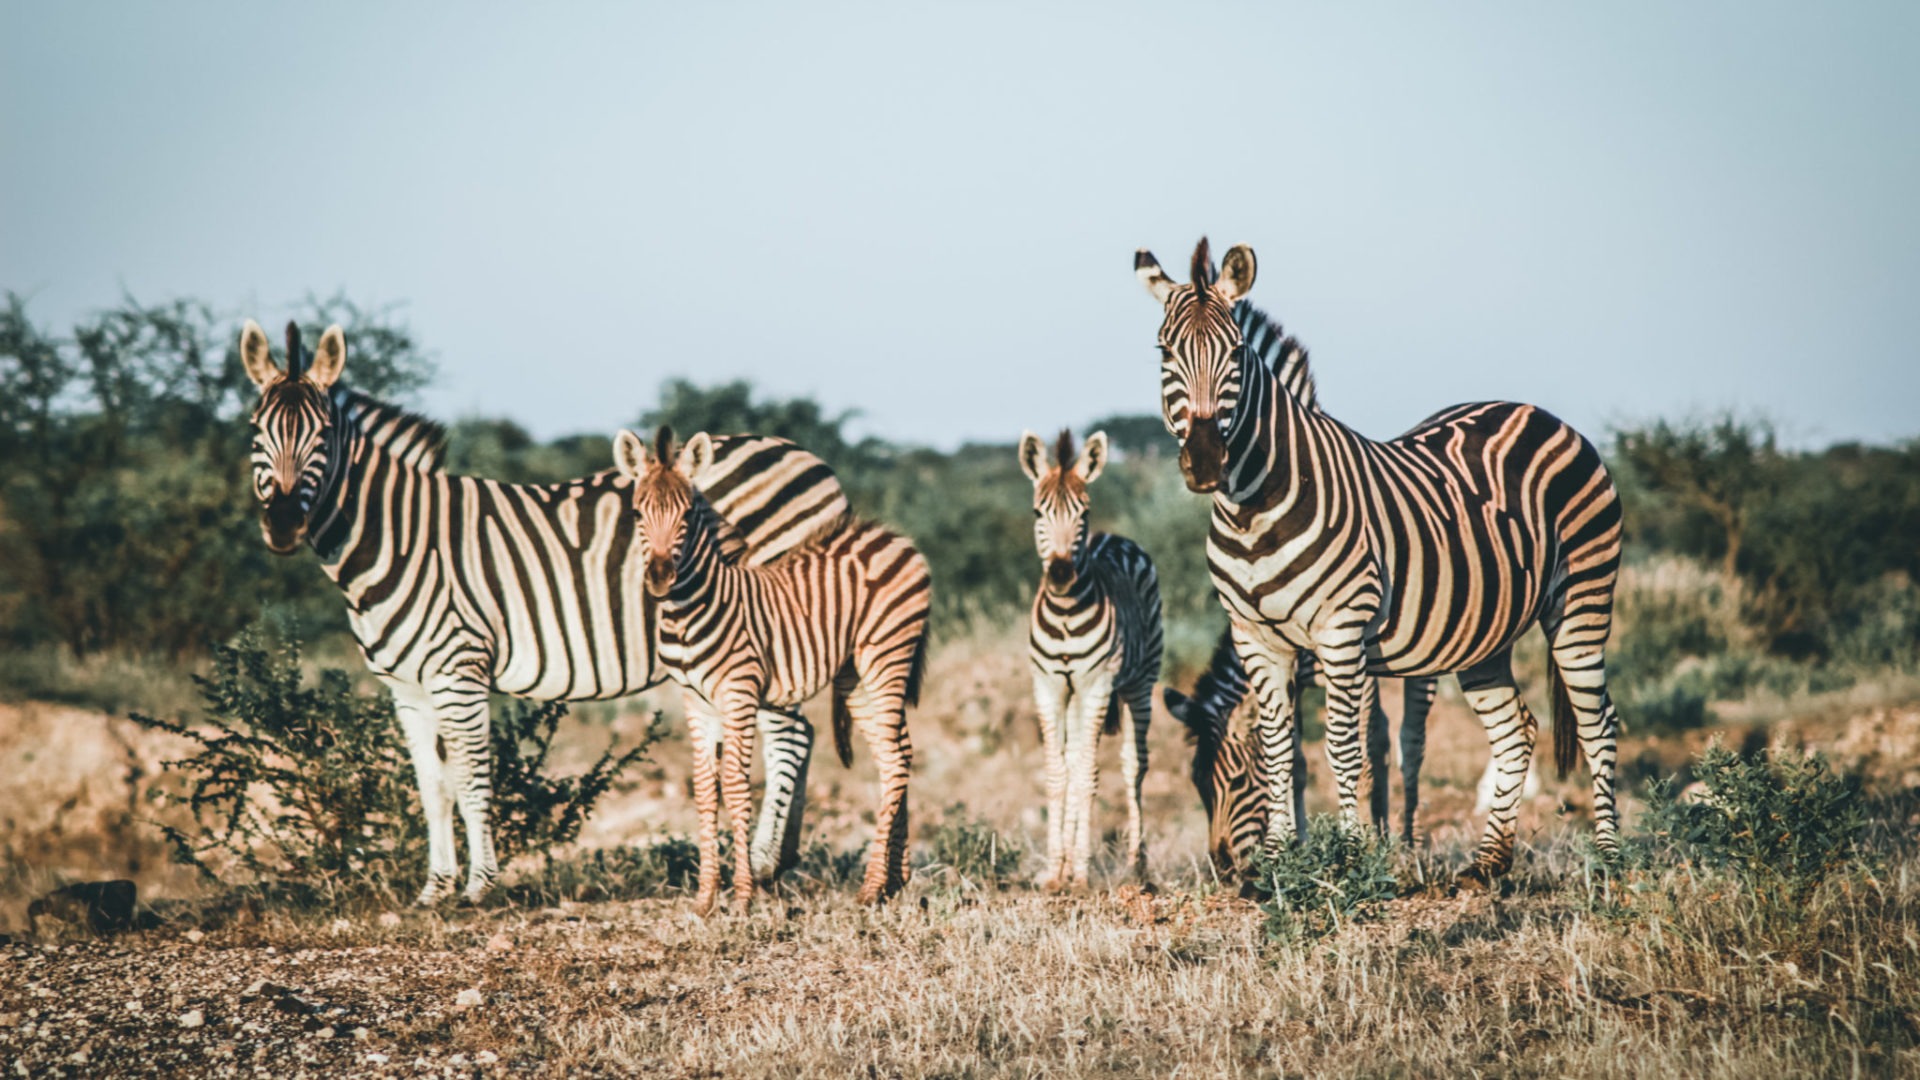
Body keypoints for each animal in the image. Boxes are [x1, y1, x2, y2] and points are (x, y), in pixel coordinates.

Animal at [241, 320, 851, 903]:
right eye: (254, 431)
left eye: (322, 435)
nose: (282, 525)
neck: (398, 537)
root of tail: (809, 458)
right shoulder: (405, 686)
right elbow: (432, 787)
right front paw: (434, 888)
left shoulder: (459, 668)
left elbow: (471, 777)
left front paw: (479, 886)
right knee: (797, 735)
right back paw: (780, 860)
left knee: (790, 737)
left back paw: (764, 861)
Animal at [614, 426, 930, 913]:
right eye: (636, 512)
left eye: (687, 513)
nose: (661, 578)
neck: (690, 610)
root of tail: (895, 539)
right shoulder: (694, 700)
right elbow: (704, 788)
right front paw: (705, 897)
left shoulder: (739, 691)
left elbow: (736, 785)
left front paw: (743, 895)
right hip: (857, 679)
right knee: (896, 754)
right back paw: (895, 880)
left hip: (887, 657)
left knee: (896, 760)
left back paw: (872, 886)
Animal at [1019, 428, 1163, 888]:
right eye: (1037, 511)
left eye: (1083, 511)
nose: (1061, 575)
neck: (1065, 613)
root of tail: (1113, 536)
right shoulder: (1048, 686)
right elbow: (1058, 773)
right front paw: (1055, 871)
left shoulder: (1097, 685)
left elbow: (1086, 775)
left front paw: (1079, 873)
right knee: (1079, 760)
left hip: (1139, 683)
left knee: (1133, 766)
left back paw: (1137, 864)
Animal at [1135, 239, 1625, 884]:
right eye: (1164, 351)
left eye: (1235, 351)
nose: (1205, 462)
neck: (1252, 510)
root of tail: (1535, 412)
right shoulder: (1257, 638)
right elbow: (1284, 750)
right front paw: (1281, 860)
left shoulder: (1345, 637)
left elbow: (1350, 750)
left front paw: (1355, 854)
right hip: (1483, 636)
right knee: (1515, 729)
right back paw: (1489, 864)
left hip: (1581, 604)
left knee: (1598, 723)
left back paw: (1611, 858)